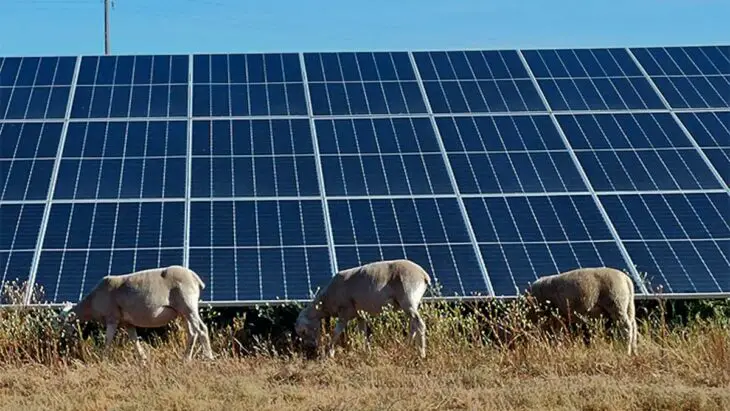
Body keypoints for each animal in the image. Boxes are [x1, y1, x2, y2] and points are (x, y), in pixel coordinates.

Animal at [59, 266, 213, 362]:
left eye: (64, 323)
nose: (63, 340)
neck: (90, 304)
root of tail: (195, 278)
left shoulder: (112, 317)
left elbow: (108, 340)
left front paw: (103, 359)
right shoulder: (127, 322)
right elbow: (134, 340)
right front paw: (143, 359)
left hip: (188, 304)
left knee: (202, 329)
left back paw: (208, 357)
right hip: (182, 311)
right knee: (192, 333)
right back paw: (186, 359)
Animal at [296, 260, 430, 360]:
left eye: (303, 331)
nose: (311, 348)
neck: (325, 301)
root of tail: (424, 275)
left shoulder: (344, 311)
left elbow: (336, 332)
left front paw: (330, 354)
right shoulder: (359, 314)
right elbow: (362, 333)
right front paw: (366, 352)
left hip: (408, 298)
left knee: (419, 324)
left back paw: (421, 353)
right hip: (409, 304)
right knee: (413, 325)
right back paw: (406, 347)